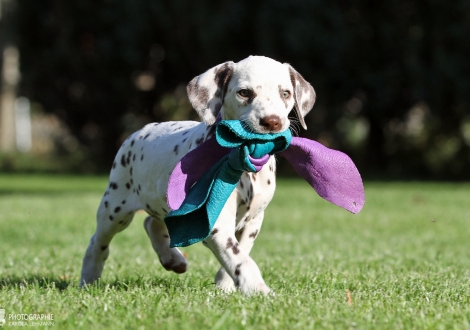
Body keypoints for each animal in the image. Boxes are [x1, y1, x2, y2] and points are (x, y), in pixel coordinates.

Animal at [81, 55, 316, 296]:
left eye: (285, 93)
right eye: (244, 92)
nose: (272, 121)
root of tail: (137, 132)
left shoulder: (254, 220)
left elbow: (241, 251)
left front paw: (225, 285)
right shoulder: (217, 222)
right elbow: (240, 258)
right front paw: (258, 289)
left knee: (151, 222)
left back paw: (171, 258)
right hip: (115, 209)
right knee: (98, 242)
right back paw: (89, 278)